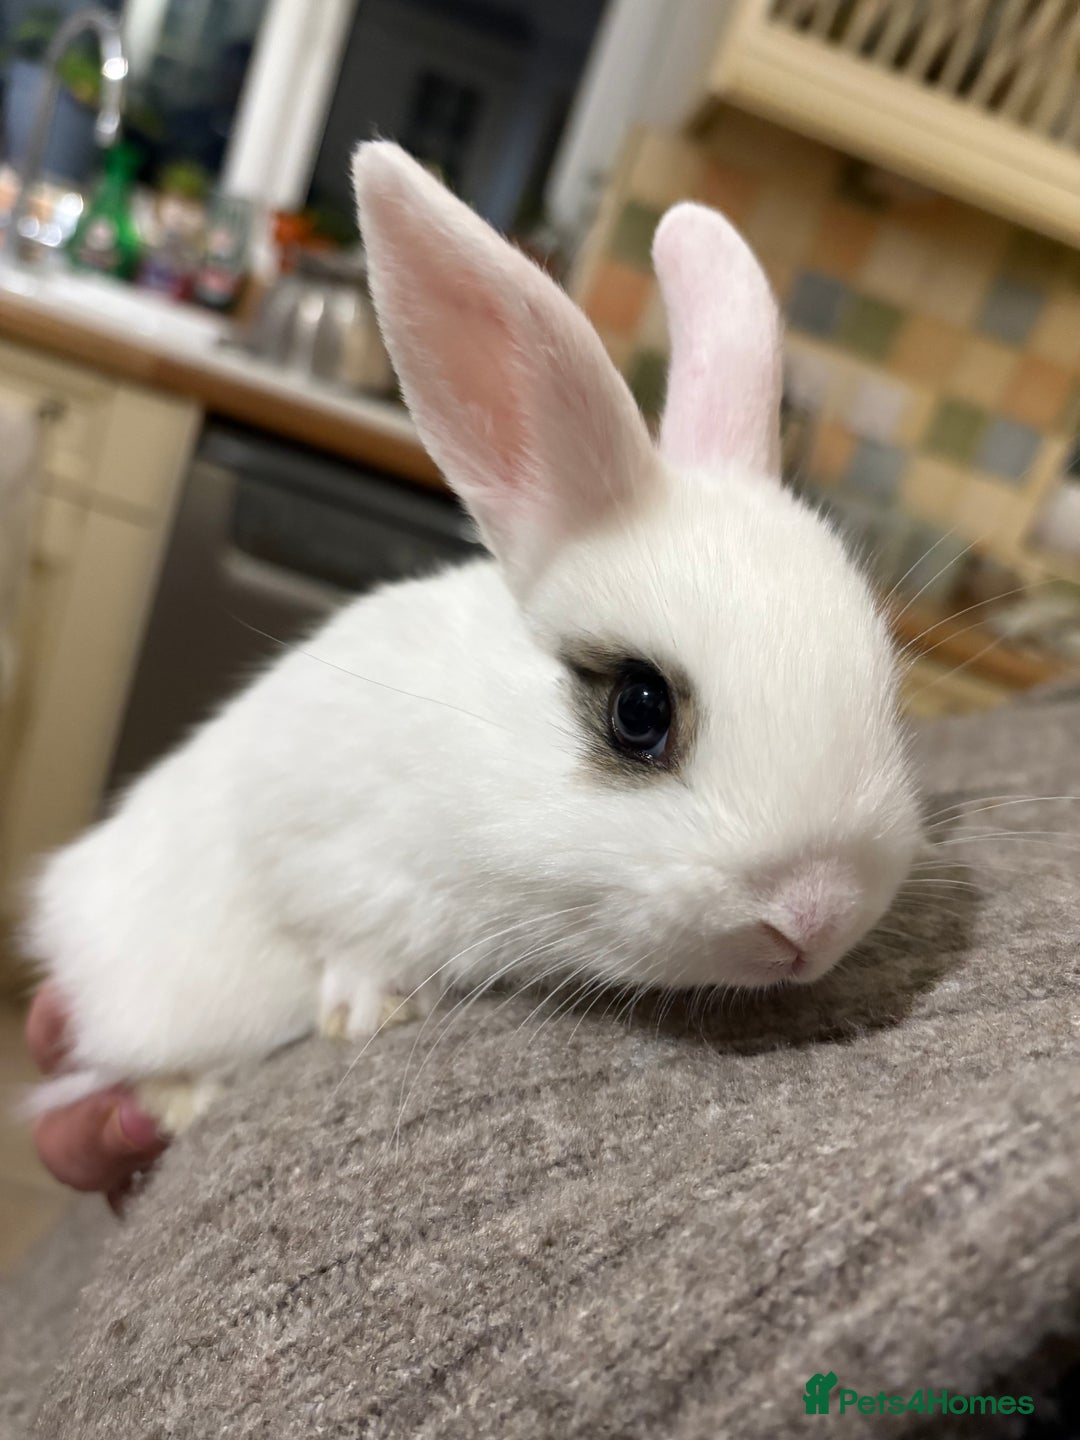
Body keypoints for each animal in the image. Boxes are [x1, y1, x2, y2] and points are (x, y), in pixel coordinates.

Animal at [22, 142, 921, 1130]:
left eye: (891, 690)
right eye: (638, 710)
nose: (818, 913)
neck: (472, 743)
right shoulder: (306, 836)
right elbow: (331, 924)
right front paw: (369, 1007)